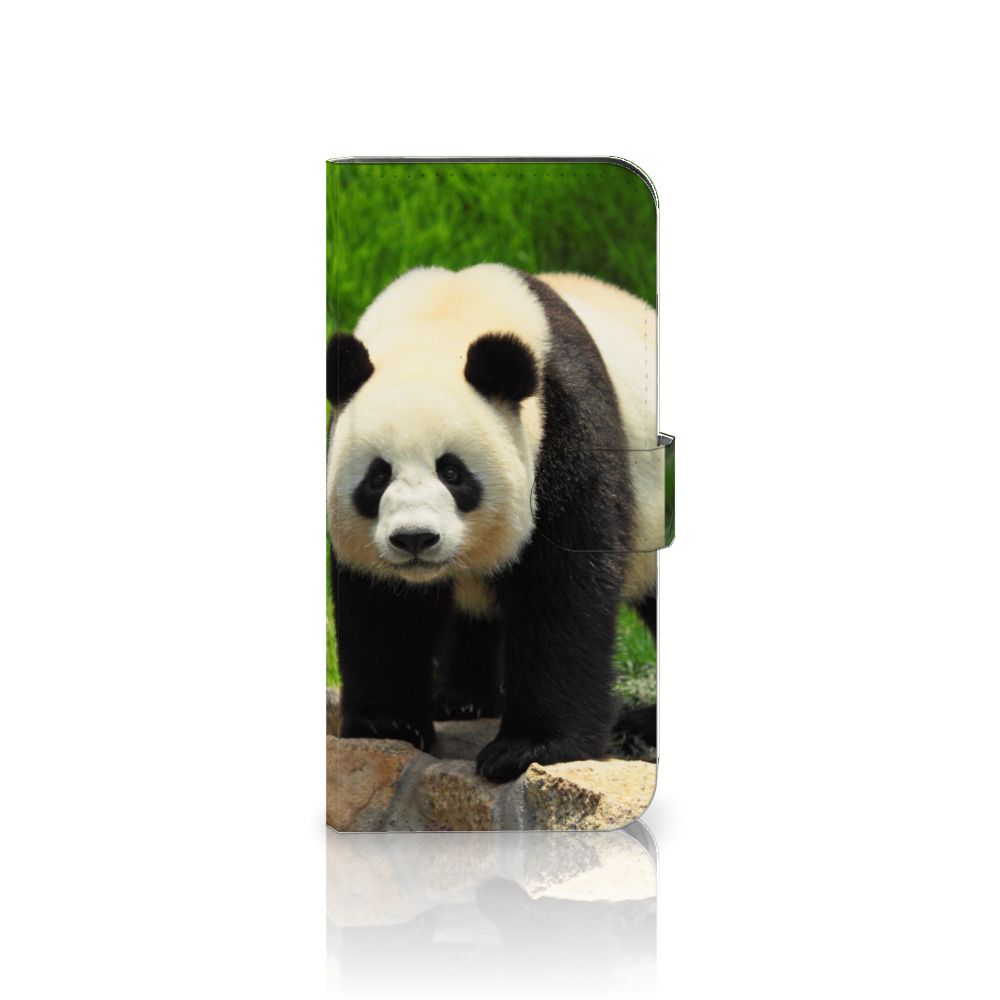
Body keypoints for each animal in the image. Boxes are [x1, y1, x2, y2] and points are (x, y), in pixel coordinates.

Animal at [327, 263, 660, 782]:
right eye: (377, 476)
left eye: (452, 472)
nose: (415, 539)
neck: (442, 318)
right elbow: (382, 604)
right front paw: (388, 724)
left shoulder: (564, 424)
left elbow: (563, 588)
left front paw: (529, 749)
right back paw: (463, 700)